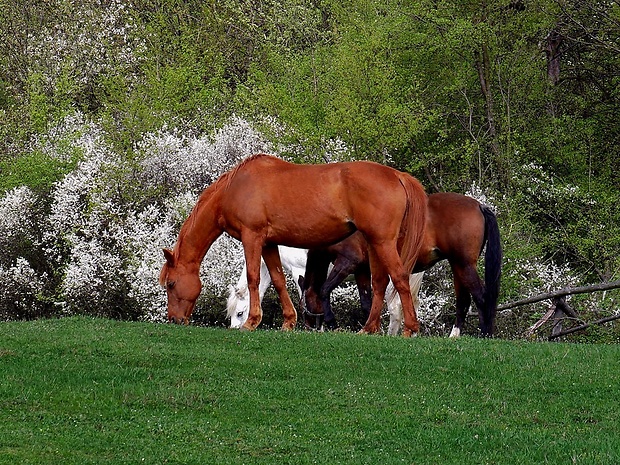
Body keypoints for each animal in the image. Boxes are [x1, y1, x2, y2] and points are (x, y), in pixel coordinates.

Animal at [160, 154, 428, 336]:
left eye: (171, 284)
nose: (174, 319)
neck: (235, 188)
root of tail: (397, 176)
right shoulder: (269, 244)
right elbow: (278, 280)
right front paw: (288, 321)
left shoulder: (252, 237)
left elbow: (253, 278)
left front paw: (252, 321)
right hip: (374, 245)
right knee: (380, 283)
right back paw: (369, 328)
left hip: (383, 243)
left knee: (400, 279)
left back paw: (410, 328)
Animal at [300, 190, 504, 336]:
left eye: (306, 301)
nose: (309, 325)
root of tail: (479, 205)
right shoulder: (362, 270)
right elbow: (367, 302)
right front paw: (371, 327)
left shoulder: (347, 262)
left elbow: (324, 289)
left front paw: (332, 322)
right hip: (458, 266)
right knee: (463, 300)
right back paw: (454, 336)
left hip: (464, 265)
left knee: (481, 296)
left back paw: (484, 334)